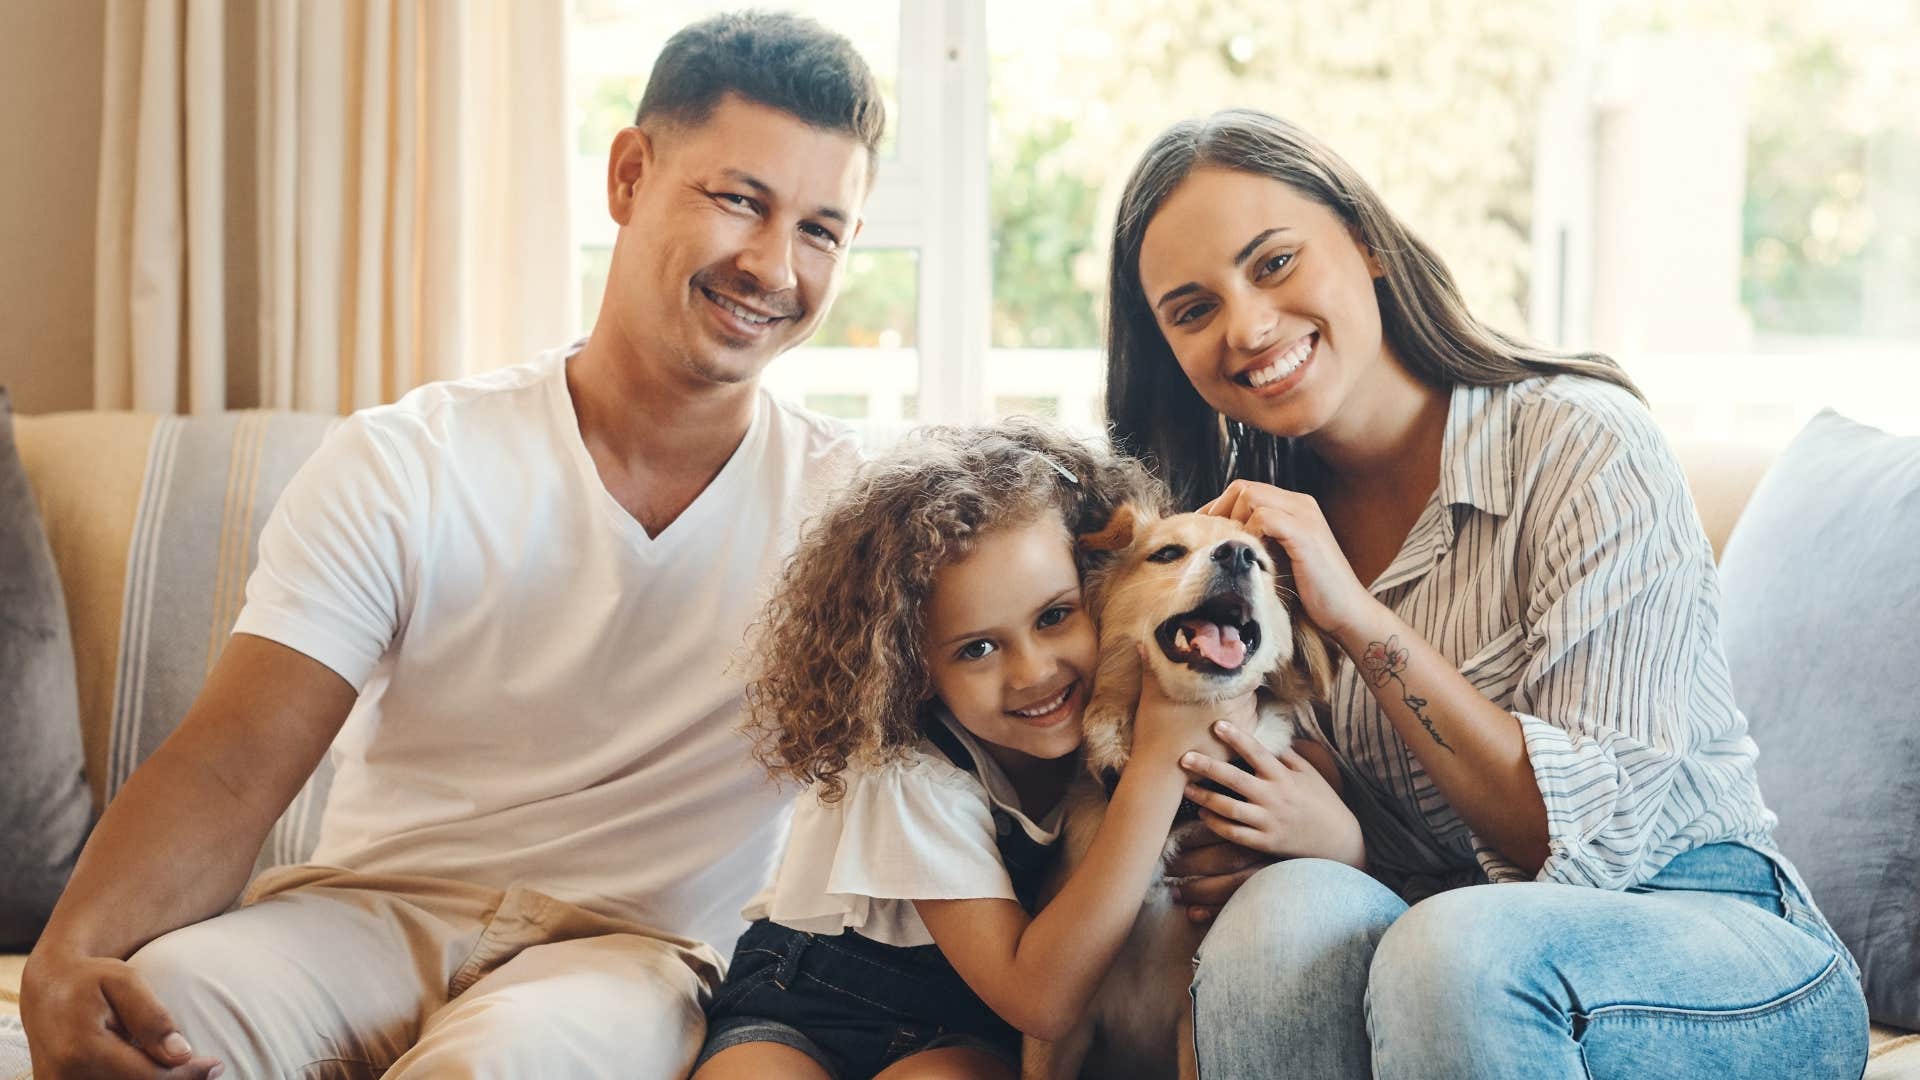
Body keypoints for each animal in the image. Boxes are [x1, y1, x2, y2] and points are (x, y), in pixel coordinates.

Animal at [1029, 503, 1328, 1076]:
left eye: (1261, 563)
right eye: (1167, 553)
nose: (1237, 556)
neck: (1173, 811)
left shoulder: (1192, 1029)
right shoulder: (1055, 1036)